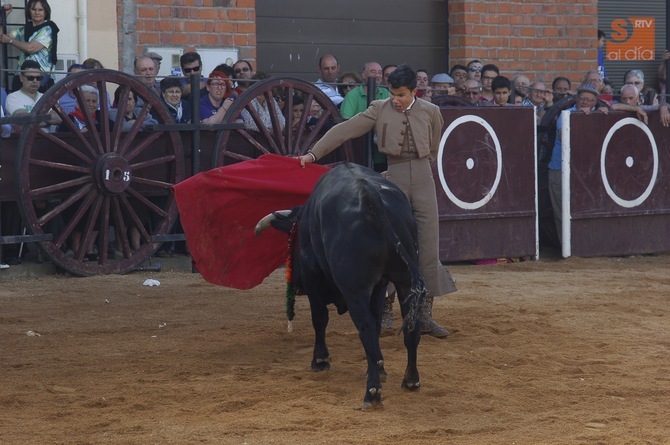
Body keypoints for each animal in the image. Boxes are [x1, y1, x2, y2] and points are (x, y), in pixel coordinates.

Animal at [255, 162, 426, 410]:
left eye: (290, 241)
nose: (296, 285)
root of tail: (370, 196)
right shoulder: (379, 286)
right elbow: (377, 325)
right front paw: (380, 366)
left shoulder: (315, 283)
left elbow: (320, 320)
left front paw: (320, 359)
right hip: (405, 281)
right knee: (408, 328)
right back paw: (410, 380)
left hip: (355, 290)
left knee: (365, 329)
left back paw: (372, 393)